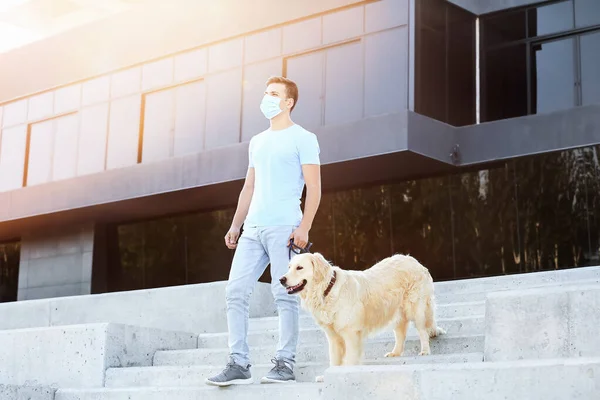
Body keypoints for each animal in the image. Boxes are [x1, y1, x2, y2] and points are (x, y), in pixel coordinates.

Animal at [278, 253, 442, 382]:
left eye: (299, 268)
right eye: (289, 267)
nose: (281, 279)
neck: (326, 290)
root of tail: (413, 260)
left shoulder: (351, 333)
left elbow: (350, 357)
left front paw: (346, 373)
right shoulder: (333, 337)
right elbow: (334, 359)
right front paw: (328, 376)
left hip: (416, 307)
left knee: (422, 330)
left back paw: (425, 350)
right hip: (397, 312)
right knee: (401, 333)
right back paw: (395, 353)